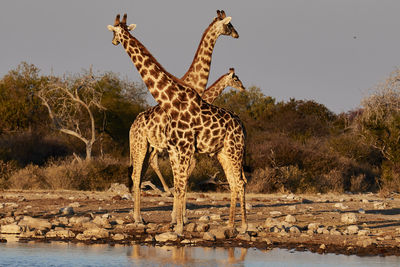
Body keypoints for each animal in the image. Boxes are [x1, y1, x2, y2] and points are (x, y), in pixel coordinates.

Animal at [130, 68, 245, 197]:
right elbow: (192, 164)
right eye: (236, 79)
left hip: (152, 145)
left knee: (147, 164)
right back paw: (163, 189)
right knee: (147, 165)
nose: (243, 87)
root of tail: (133, 125)